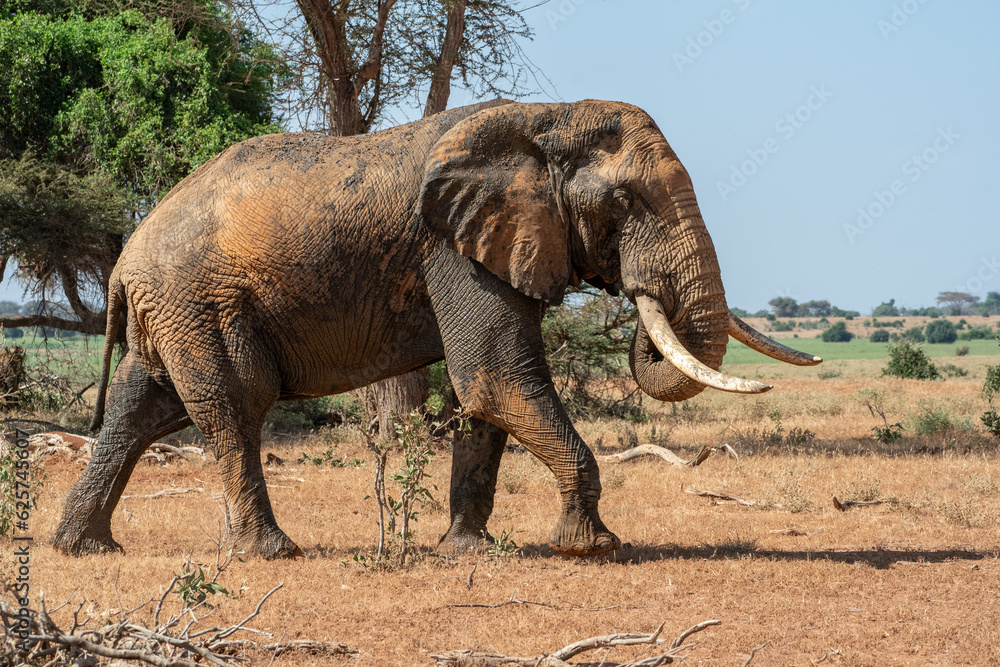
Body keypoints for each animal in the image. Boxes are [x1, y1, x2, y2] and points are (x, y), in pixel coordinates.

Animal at [52, 98, 820, 560]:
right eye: (626, 202)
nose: (637, 291)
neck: (543, 119)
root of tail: (124, 263)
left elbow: (483, 394)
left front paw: (467, 550)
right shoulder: (451, 247)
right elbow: (497, 377)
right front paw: (591, 547)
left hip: (174, 310)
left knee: (141, 409)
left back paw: (81, 547)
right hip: (200, 303)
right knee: (233, 404)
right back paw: (271, 553)